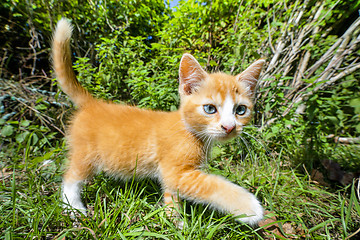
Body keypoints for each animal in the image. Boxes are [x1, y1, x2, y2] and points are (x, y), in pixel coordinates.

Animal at [53, 18, 266, 225]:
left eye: (240, 110)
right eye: (210, 109)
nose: (229, 127)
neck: (190, 132)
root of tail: (93, 103)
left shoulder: (172, 177)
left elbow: (171, 194)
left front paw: (176, 222)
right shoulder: (176, 172)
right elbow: (212, 185)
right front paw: (249, 207)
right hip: (86, 154)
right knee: (70, 177)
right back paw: (73, 208)